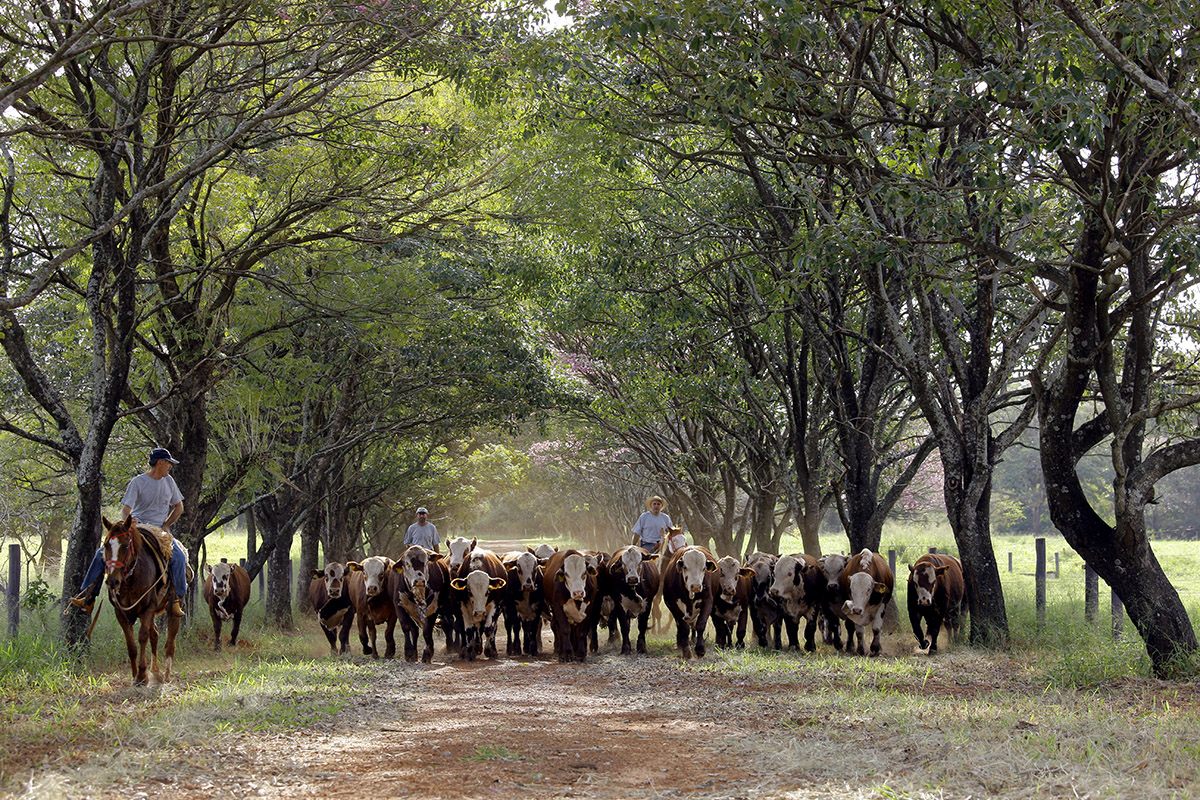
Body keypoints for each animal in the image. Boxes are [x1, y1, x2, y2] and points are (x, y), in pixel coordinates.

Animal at [101, 515, 180, 686]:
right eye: (105, 545)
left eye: (125, 546)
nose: (112, 581)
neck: (131, 578)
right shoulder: (120, 612)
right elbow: (131, 644)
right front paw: (134, 675)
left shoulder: (148, 608)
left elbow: (142, 637)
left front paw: (142, 675)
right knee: (154, 634)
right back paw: (155, 672)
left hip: (173, 607)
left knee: (170, 639)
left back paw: (166, 674)